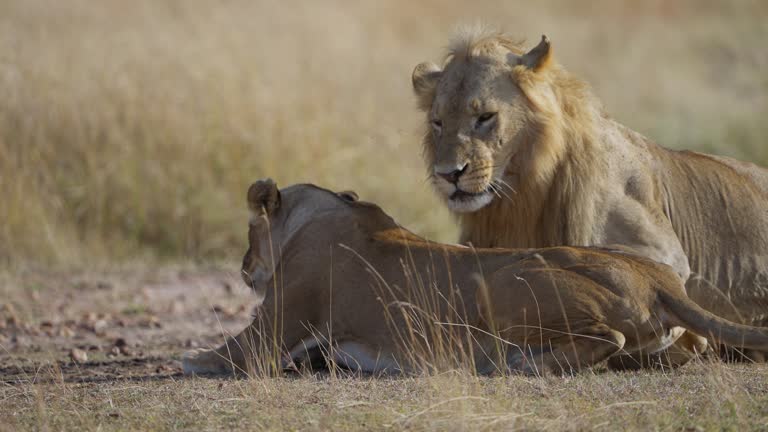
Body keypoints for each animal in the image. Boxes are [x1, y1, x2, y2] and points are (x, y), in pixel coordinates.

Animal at [182, 179, 768, 376]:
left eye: (249, 231)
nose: (243, 269)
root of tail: (660, 279)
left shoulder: (274, 326)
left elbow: (226, 352)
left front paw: (187, 360)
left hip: (509, 286)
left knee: (608, 338)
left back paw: (524, 365)